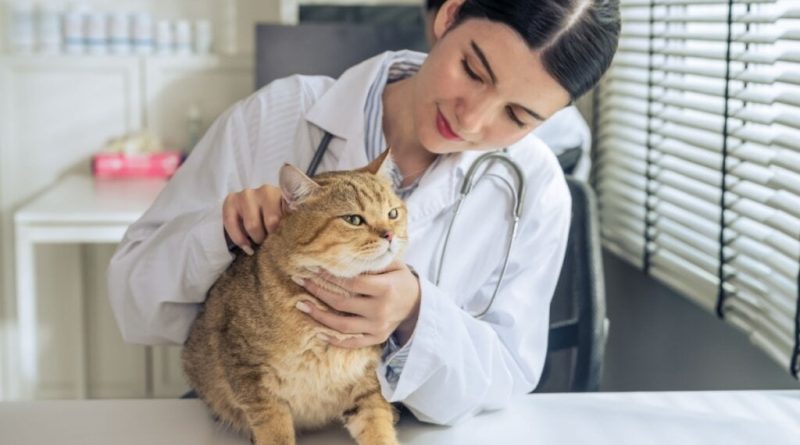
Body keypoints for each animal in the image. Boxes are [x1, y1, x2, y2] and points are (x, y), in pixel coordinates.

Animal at [183, 150, 406, 444]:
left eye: (393, 213)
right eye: (354, 219)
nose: (390, 234)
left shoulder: (366, 379)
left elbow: (377, 424)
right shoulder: (251, 376)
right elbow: (274, 431)